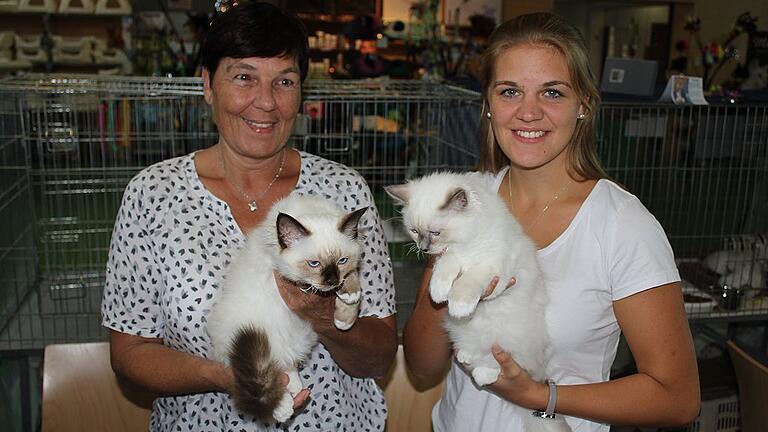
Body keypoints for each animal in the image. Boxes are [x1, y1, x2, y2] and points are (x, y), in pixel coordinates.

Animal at [207, 194, 366, 424]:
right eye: (314, 264)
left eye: (341, 261)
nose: (331, 281)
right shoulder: (281, 268)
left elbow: (352, 277)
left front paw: (346, 315)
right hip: (255, 339)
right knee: (262, 376)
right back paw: (282, 408)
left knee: (285, 368)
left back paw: (296, 391)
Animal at [390, 172, 568, 432]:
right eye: (414, 231)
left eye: (435, 232)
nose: (423, 248)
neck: (467, 243)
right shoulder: (451, 257)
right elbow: (445, 269)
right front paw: (438, 293)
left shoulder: (492, 269)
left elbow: (467, 284)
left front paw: (458, 306)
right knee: (476, 353)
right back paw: (466, 355)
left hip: (511, 341)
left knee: (505, 364)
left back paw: (483, 374)